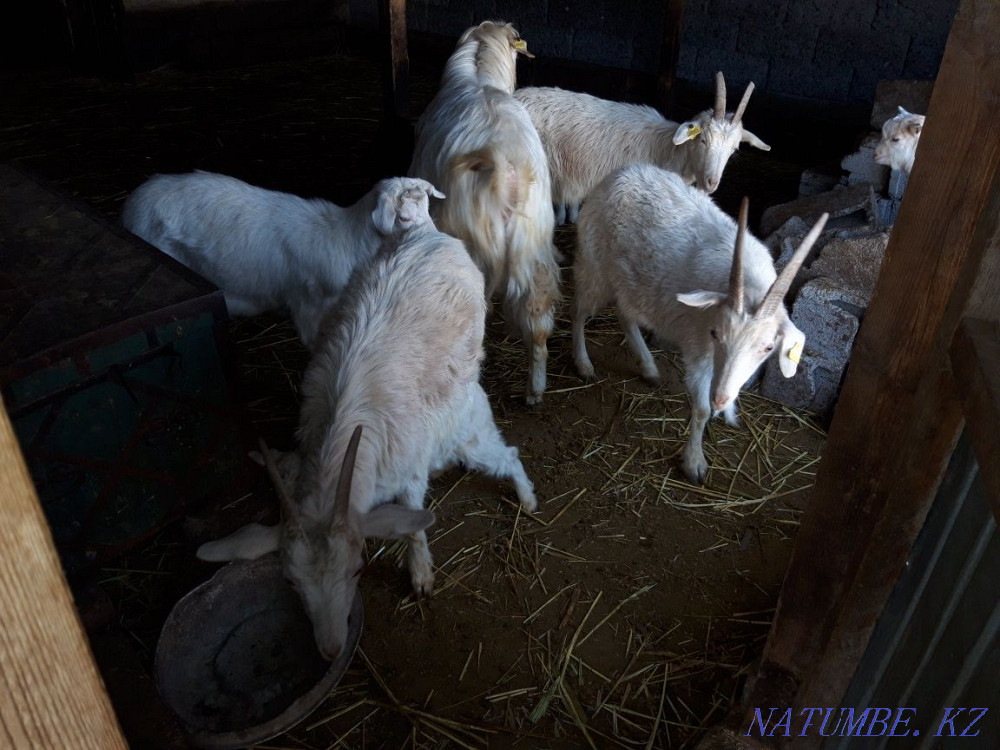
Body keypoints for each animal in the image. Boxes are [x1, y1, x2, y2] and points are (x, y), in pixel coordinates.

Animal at [121, 171, 444, 348]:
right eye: (403, 217)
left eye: (428, 207)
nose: (439, 240)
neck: (346, 239)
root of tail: (131, 206)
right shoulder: (309, 307)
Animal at [196, 224, 537, 660]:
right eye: (290, 582)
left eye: (357, 568)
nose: (330, 649)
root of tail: (426, 230)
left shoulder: (408, 470)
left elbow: (413, 524)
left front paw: (421, 576)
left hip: (470, 423)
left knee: (506, 453)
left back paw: (528, 499)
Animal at [408, 20, 560, 405]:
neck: (479, 74)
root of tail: (502, 160)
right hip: (534, 249)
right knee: (539, 327)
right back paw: (535, 390)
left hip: (470, 252)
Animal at [572, 164, 827, 484]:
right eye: (716, 333)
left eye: (768, 348)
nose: (721, 398)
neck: (748, 287)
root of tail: (622, 173)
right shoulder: (698, 349)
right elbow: (702, 409)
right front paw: (694, 463)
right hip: (595, 266)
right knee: (580, 307)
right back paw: (583, 364)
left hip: (630, 281)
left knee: (625, 314)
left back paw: (648, 367)